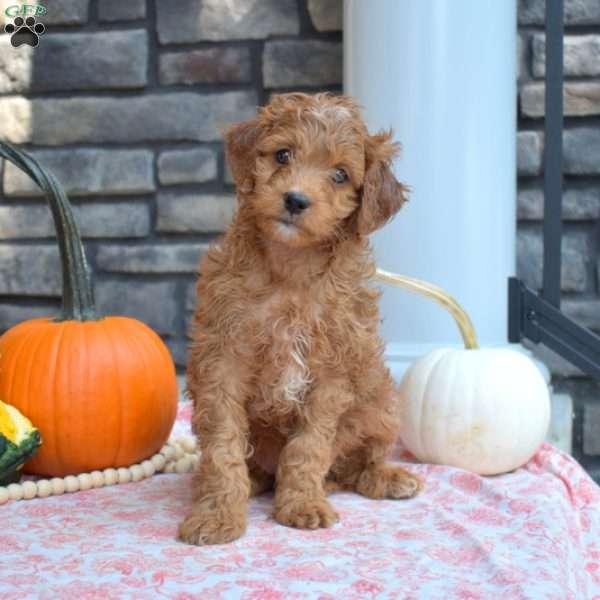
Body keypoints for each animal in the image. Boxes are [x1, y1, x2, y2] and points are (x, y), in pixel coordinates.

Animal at [178, 91, 422, 548]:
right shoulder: (222, 358)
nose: (295, 200)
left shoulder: (333, 369)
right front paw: (217, 514)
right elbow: (222, 446)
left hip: (382, 401)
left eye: (341, 175)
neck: (291, 268)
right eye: (282, 154)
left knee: (362, 461)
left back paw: (386, 477)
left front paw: (302, 504)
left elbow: (309, 447)